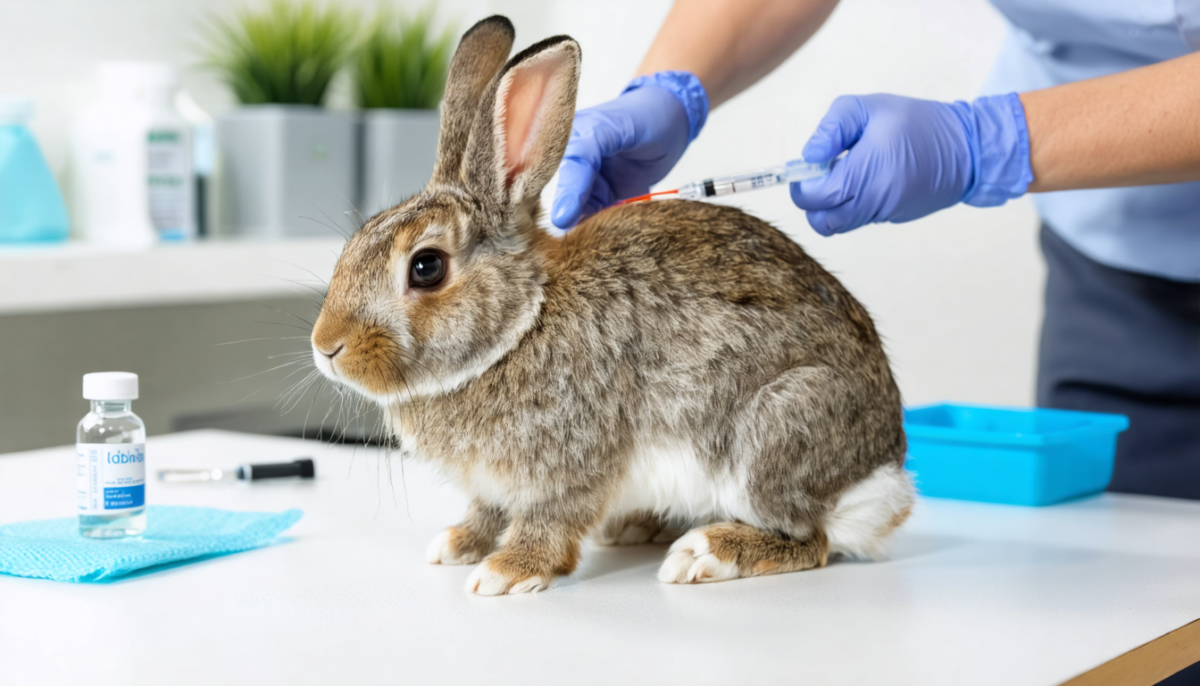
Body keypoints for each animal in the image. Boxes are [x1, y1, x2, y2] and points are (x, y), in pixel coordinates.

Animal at [311, 15, 914, 596]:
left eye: (426, 267)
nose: (325, 348)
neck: (521, 325)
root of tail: (885, 475)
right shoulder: (495, 486)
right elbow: (486, 512)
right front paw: (457, 544)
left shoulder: (569, 462)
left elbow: (550, 520)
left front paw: (506, 571)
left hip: (774, 432)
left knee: (809, 538)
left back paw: (707, 552)